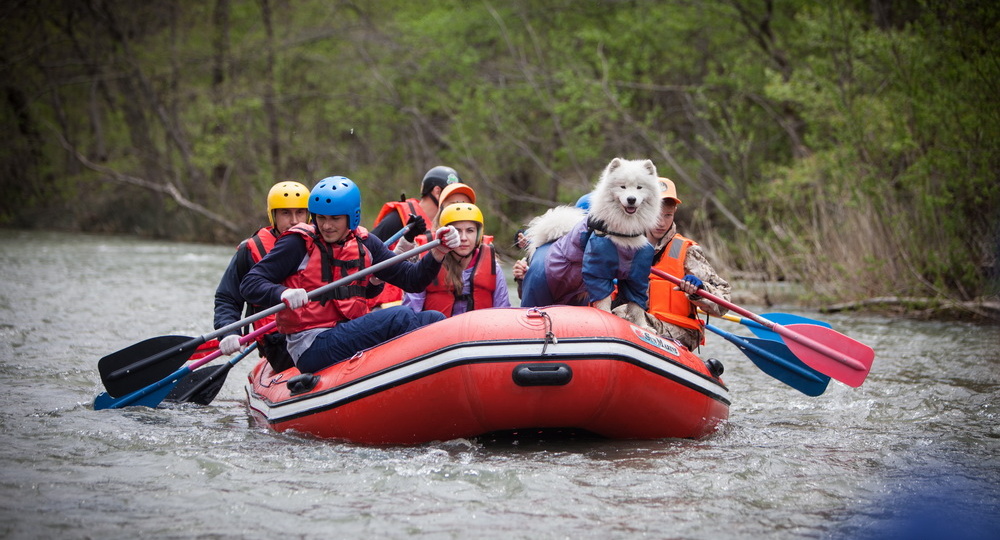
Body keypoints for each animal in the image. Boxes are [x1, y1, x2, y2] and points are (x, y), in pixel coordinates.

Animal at [520, 156, 660, 320]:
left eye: (639, 187)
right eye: (622, 187)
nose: (631, 199)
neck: (623, 233)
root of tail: (544, 243)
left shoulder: (636, 274)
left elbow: (637, 306)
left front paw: (643, 325)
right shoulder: (598, 270)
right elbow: (604, 300)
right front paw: (608, 316)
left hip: (573, 296)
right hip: (538, 289)